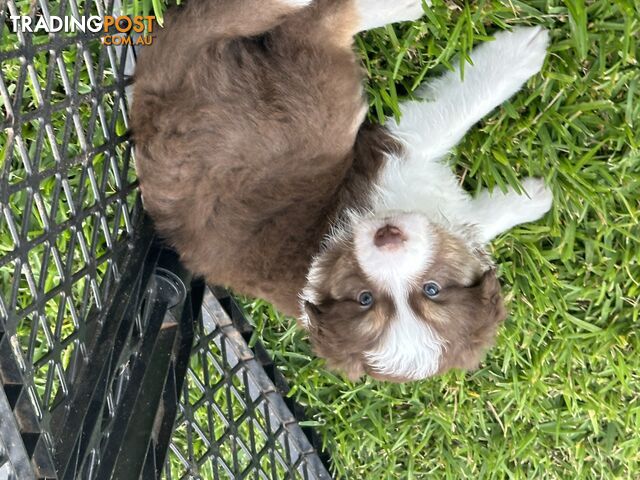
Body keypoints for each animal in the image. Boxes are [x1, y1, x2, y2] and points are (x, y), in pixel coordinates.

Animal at [132, 0, 552, 382]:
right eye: (365, 298)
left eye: (431, 290)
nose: (386, 238)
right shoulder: (396, 147)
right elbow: (451, 109)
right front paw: (519, 54)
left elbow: (478, 222)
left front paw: (532, 199)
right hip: (313, 111)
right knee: (313, 30)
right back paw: (398, 7)